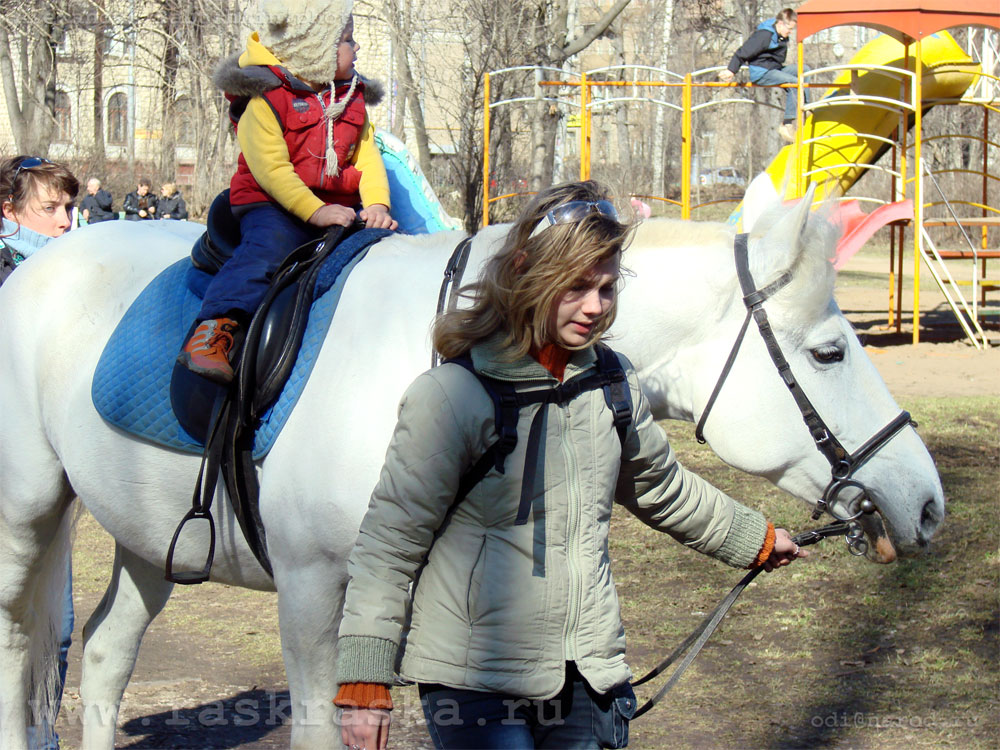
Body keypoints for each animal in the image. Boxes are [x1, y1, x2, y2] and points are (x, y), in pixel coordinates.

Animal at [0, 195, 940, 750]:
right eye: (829, 351)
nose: (925, 503)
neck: (437, 357)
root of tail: (36, 265)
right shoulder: (315, 594)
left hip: (149, 538)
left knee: (105, 656)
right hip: (27, 519)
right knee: (18, 650)